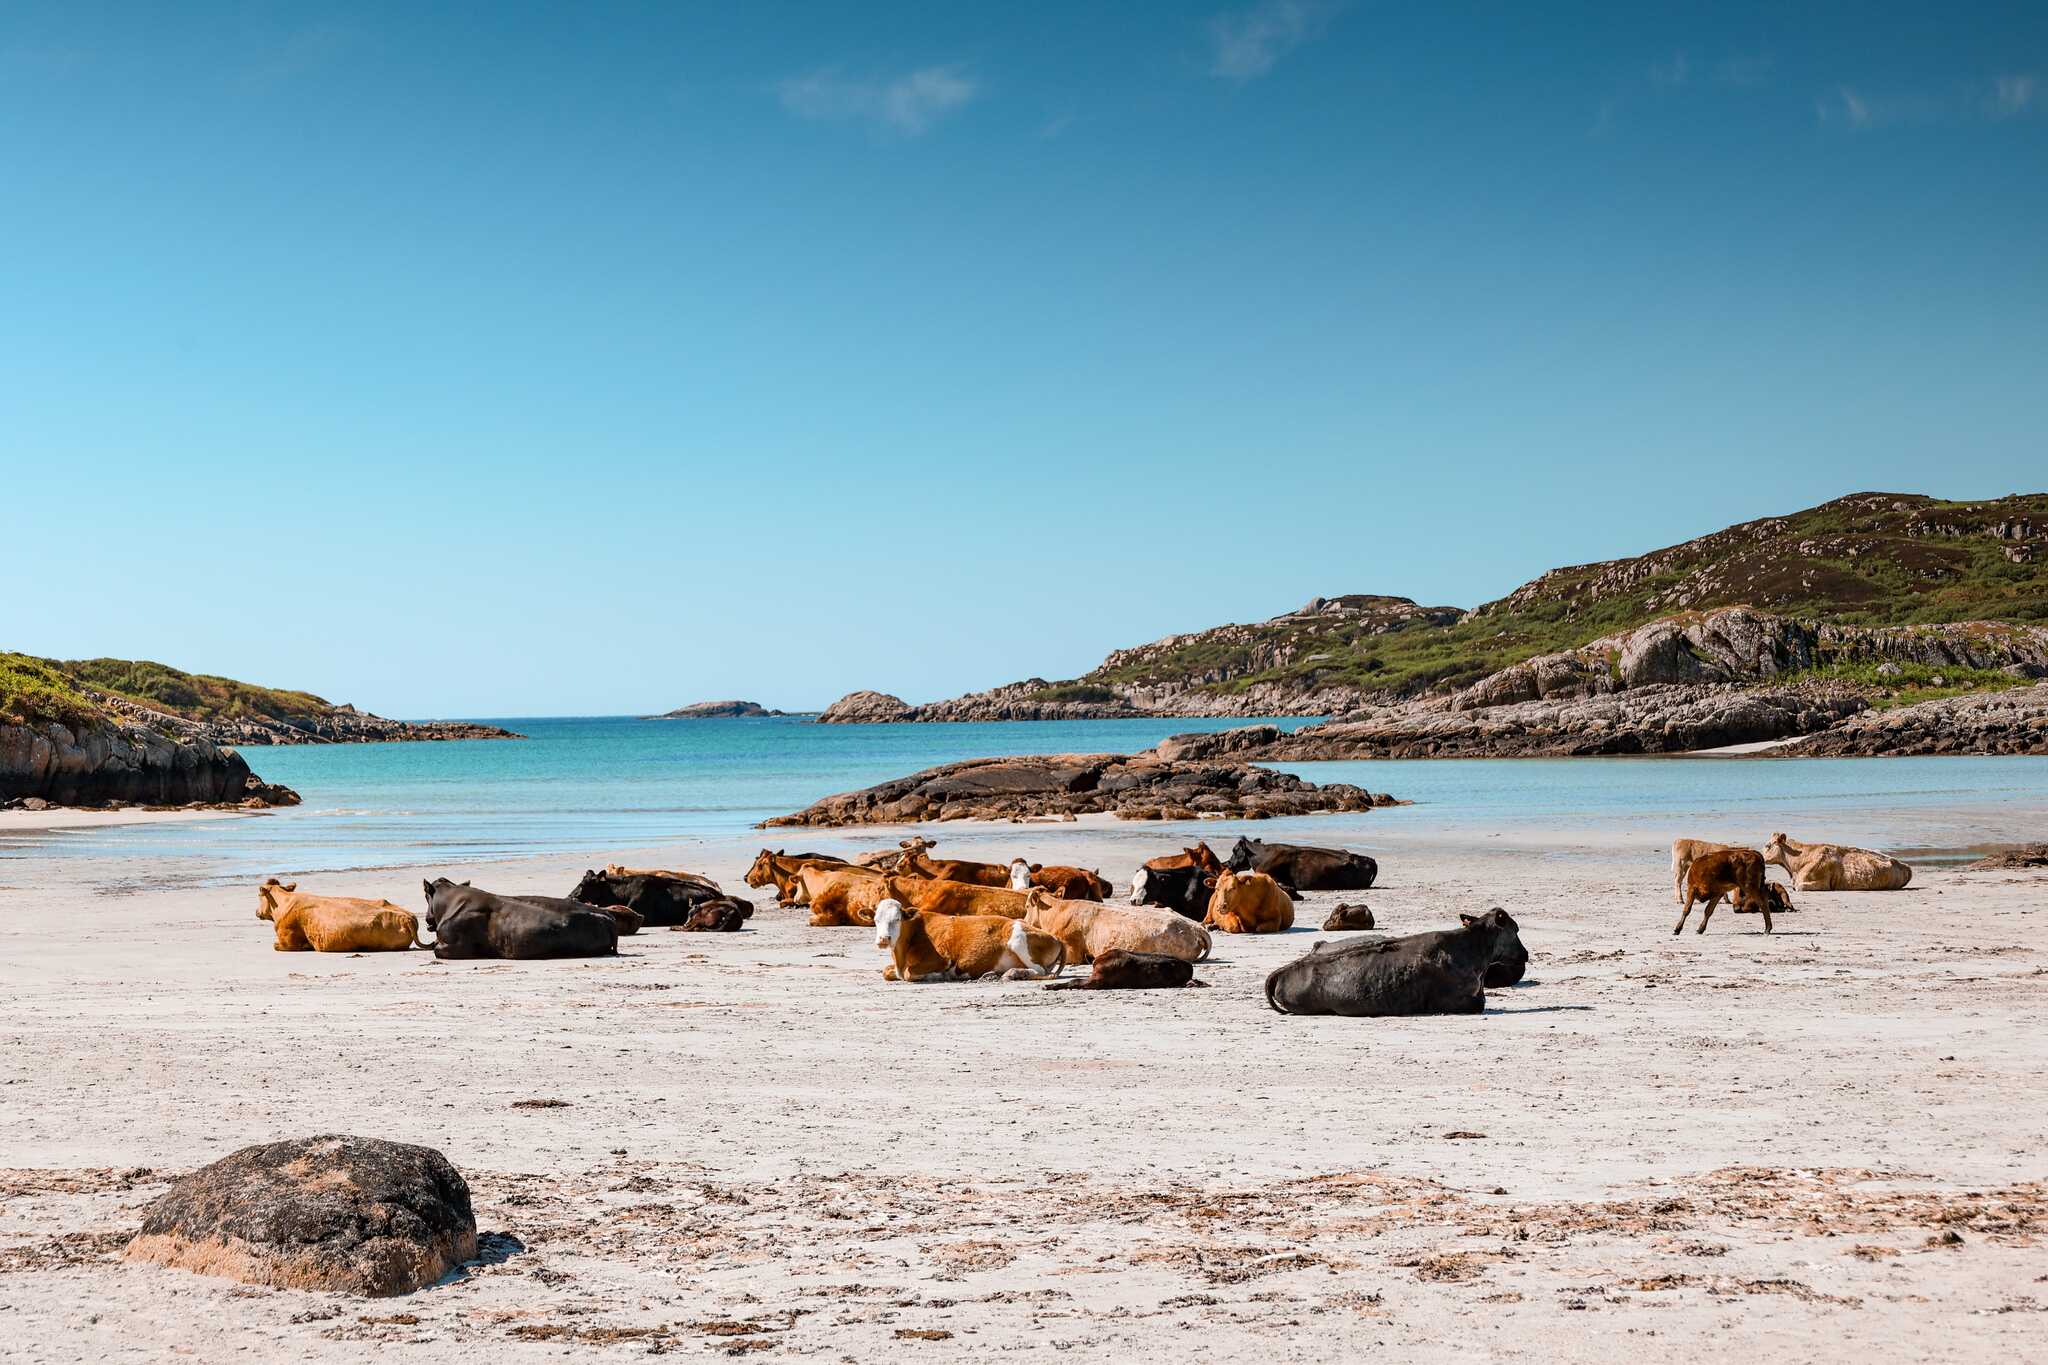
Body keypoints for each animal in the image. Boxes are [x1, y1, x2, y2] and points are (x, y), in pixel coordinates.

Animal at [872, 900, 1065, 982]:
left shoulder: (942, 959)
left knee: (1040, 971)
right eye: (876, 919)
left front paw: (938, 975)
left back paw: (1013, 974)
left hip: (1018, 940)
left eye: (897, 919)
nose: (883, 939)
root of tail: (1056, 938)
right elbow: (886, 972)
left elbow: (908, 973)